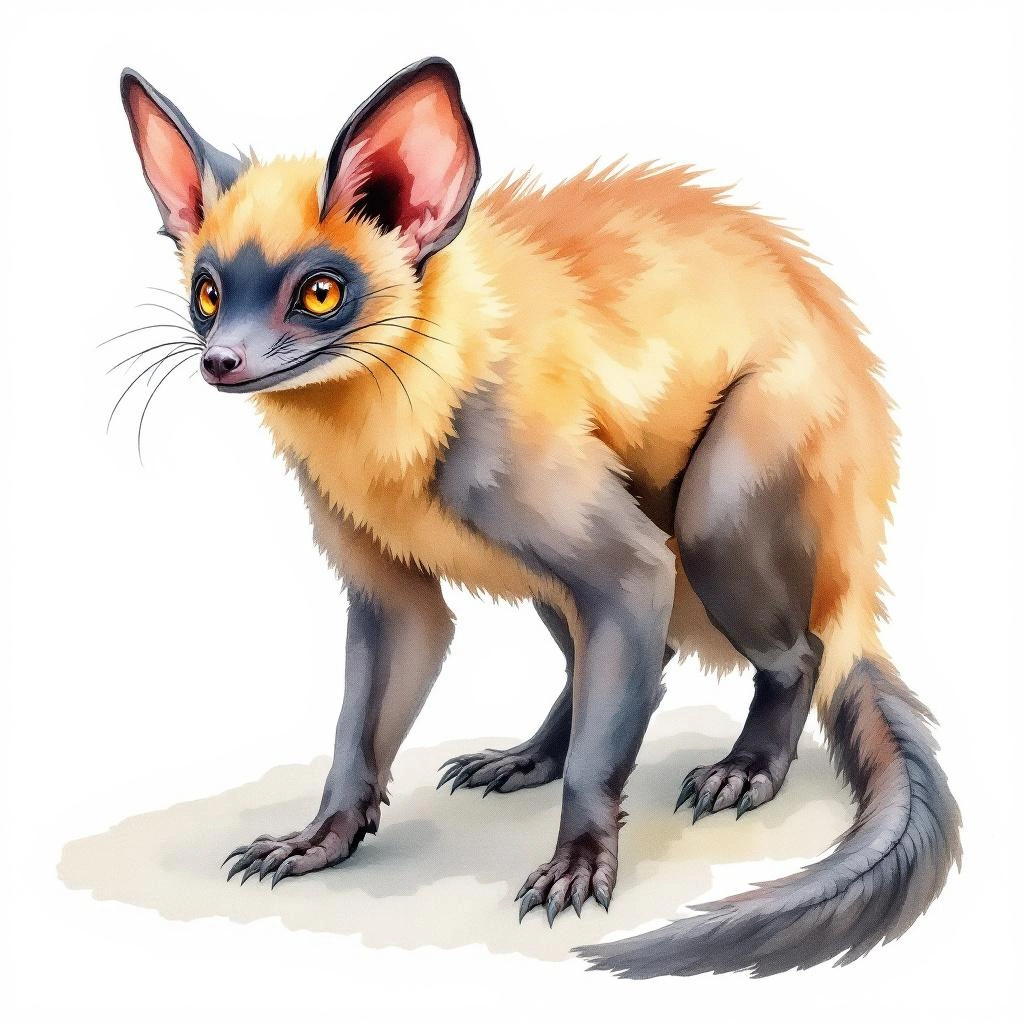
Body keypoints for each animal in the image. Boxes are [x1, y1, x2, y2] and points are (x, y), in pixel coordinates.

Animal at [118, 57, 961, 978]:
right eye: (207, 293)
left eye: (320, 292)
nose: (221, 361)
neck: (397, 434)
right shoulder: (391, 598)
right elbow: (358, 736)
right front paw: (320, 840)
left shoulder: (623, 559)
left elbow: (599, 756)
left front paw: (581, 865)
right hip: (550, 579)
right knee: (636, 658)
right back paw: (526, 758)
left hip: (718, 514)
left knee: (794, 654)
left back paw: (746, 768)